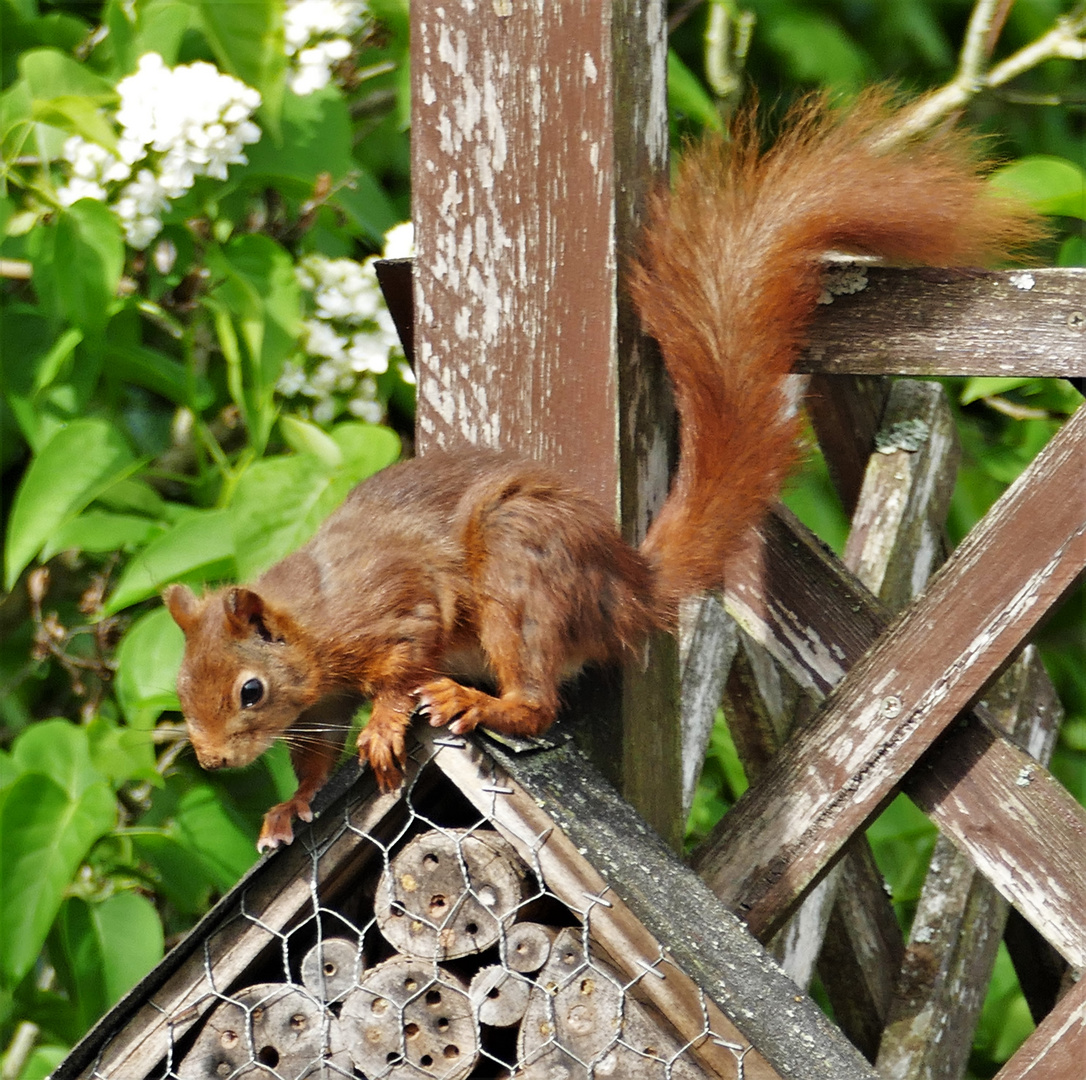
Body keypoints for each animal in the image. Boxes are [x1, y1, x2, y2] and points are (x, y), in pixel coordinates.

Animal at [160, 94, 1033, 851]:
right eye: (179, 687)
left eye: (250, 690)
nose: (212, 760)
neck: (312, 618)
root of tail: (627, 588)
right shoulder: (322, 695)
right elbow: (313, 753)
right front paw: (291, 804)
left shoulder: (394, 610)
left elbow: (400, 664)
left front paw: (382, 724)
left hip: (518, 570)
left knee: (537, 704)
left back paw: (473, 699)